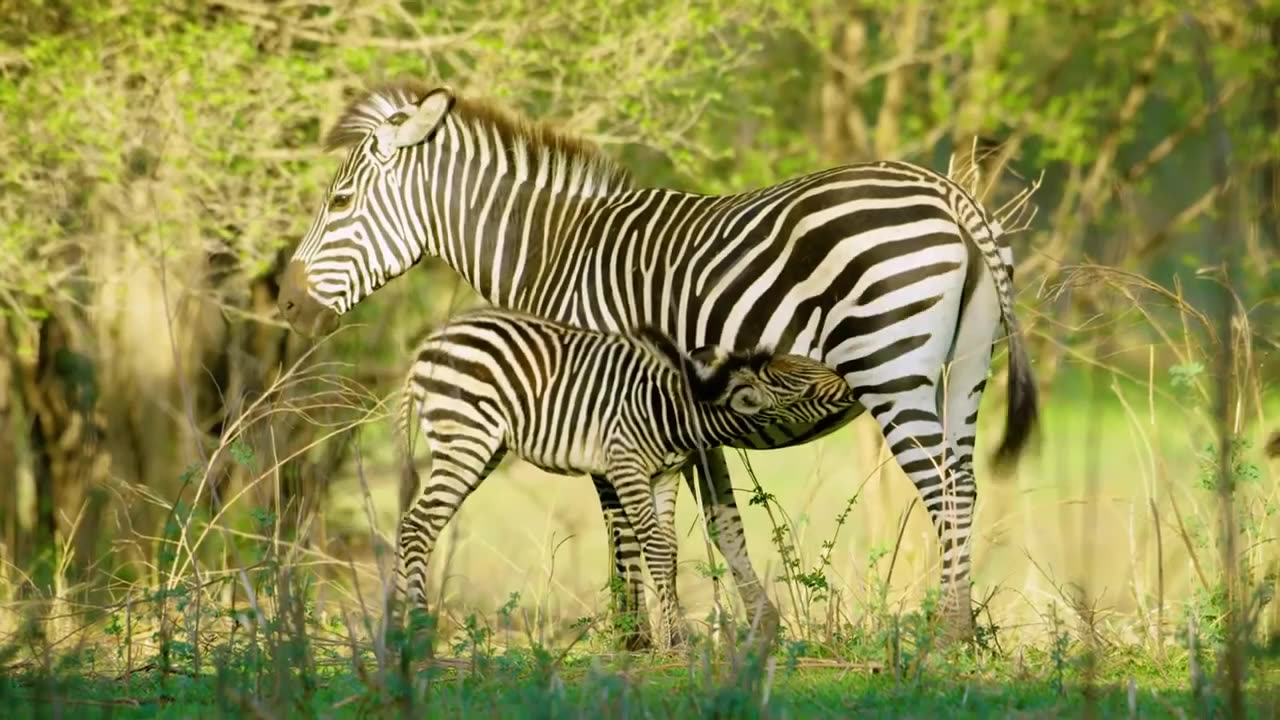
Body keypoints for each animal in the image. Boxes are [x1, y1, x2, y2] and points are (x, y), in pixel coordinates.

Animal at [277, 81, 1039, 640]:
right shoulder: (660, 411)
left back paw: (946, 634)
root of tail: (946, 191)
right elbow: (711, 517)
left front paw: (631, 636)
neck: (557, 249)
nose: (285, 302)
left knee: (941, 488)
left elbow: (622, 521)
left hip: (889, 367)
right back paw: (967, 632)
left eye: (339, 201)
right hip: (968, 368)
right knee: (965, 485)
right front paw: (747, 628)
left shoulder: (593, 391)